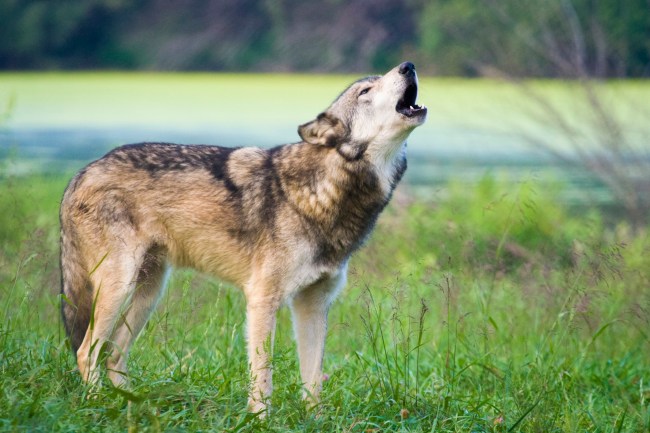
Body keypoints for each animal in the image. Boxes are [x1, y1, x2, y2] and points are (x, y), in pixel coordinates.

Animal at [60, 62, 427, 413]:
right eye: (366, 90)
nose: (408, 65)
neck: (322, 190)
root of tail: (81, 173)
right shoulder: (263, 300)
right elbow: (264, 376)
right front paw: (259, 420)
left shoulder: (313, 304)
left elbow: (313, 382)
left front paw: (315, 419)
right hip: (118, 287)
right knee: (86, 351)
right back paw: (99, 404)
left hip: (150, 292)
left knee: (114, 354)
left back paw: (132, 405)